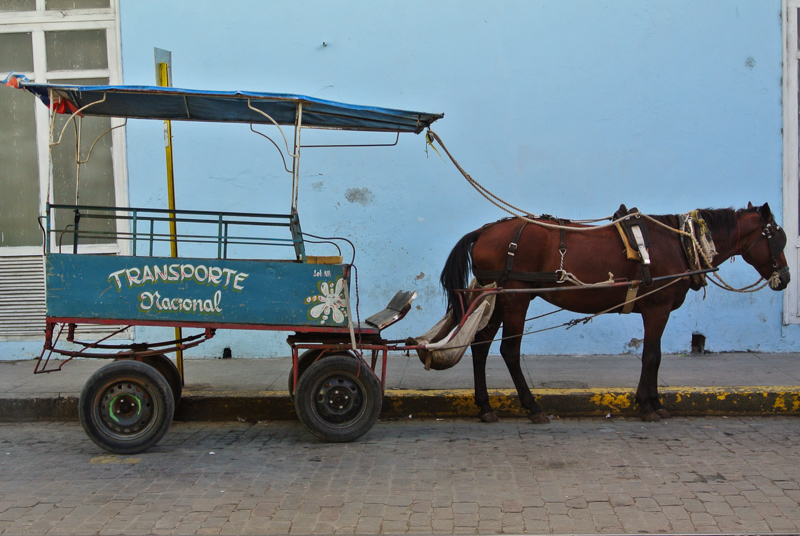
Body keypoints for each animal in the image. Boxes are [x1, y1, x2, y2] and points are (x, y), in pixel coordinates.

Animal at [440, 203, 792, 426]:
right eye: (777, 237)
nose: (786, 278)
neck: (680, 243)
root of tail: (484, 231)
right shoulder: (657, 307)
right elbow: (651, 355)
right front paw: (647, 406)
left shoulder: (655, 310)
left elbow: (655, 356)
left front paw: (655, 402)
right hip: (515, 298)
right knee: (509, 351)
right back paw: (533, 407)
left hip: (496, 298)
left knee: (481, 346)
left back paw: (485, 407)